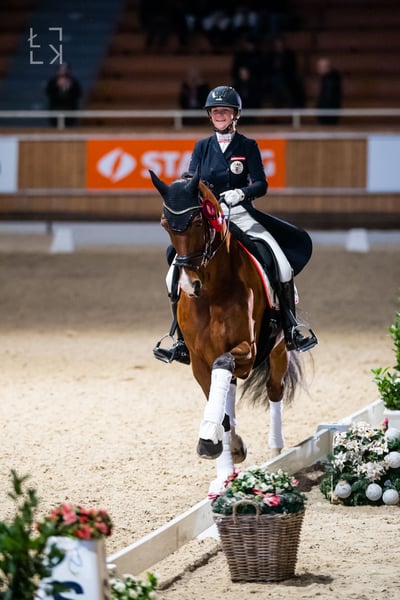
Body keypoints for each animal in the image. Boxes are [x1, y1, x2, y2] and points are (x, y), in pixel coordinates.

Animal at [150, 169, 303, 492]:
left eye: (198, 222)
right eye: (165, 224)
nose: (188, 286)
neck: (212, 291)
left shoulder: (249, 350)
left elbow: (225, 369)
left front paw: (211, 440)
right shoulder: (198, 360)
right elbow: (220, 408)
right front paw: (221, 454)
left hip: (279, 349)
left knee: (274, 390)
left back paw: (276, 450)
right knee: (229, 392)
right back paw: (234, 445)